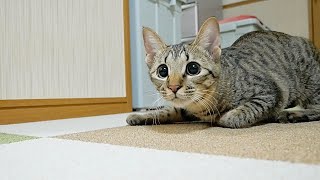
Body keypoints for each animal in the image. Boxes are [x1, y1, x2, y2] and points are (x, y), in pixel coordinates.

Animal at [127, 16, 320, 127]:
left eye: (193, 68)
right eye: (163, 71)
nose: (173, 87)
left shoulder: (270, 92)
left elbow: (238, 114)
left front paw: (225, 117)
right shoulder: (185, 108)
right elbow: (171, 110)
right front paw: (143, 115)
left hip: (311, 84)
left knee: (316, 108)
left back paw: (292, 114)